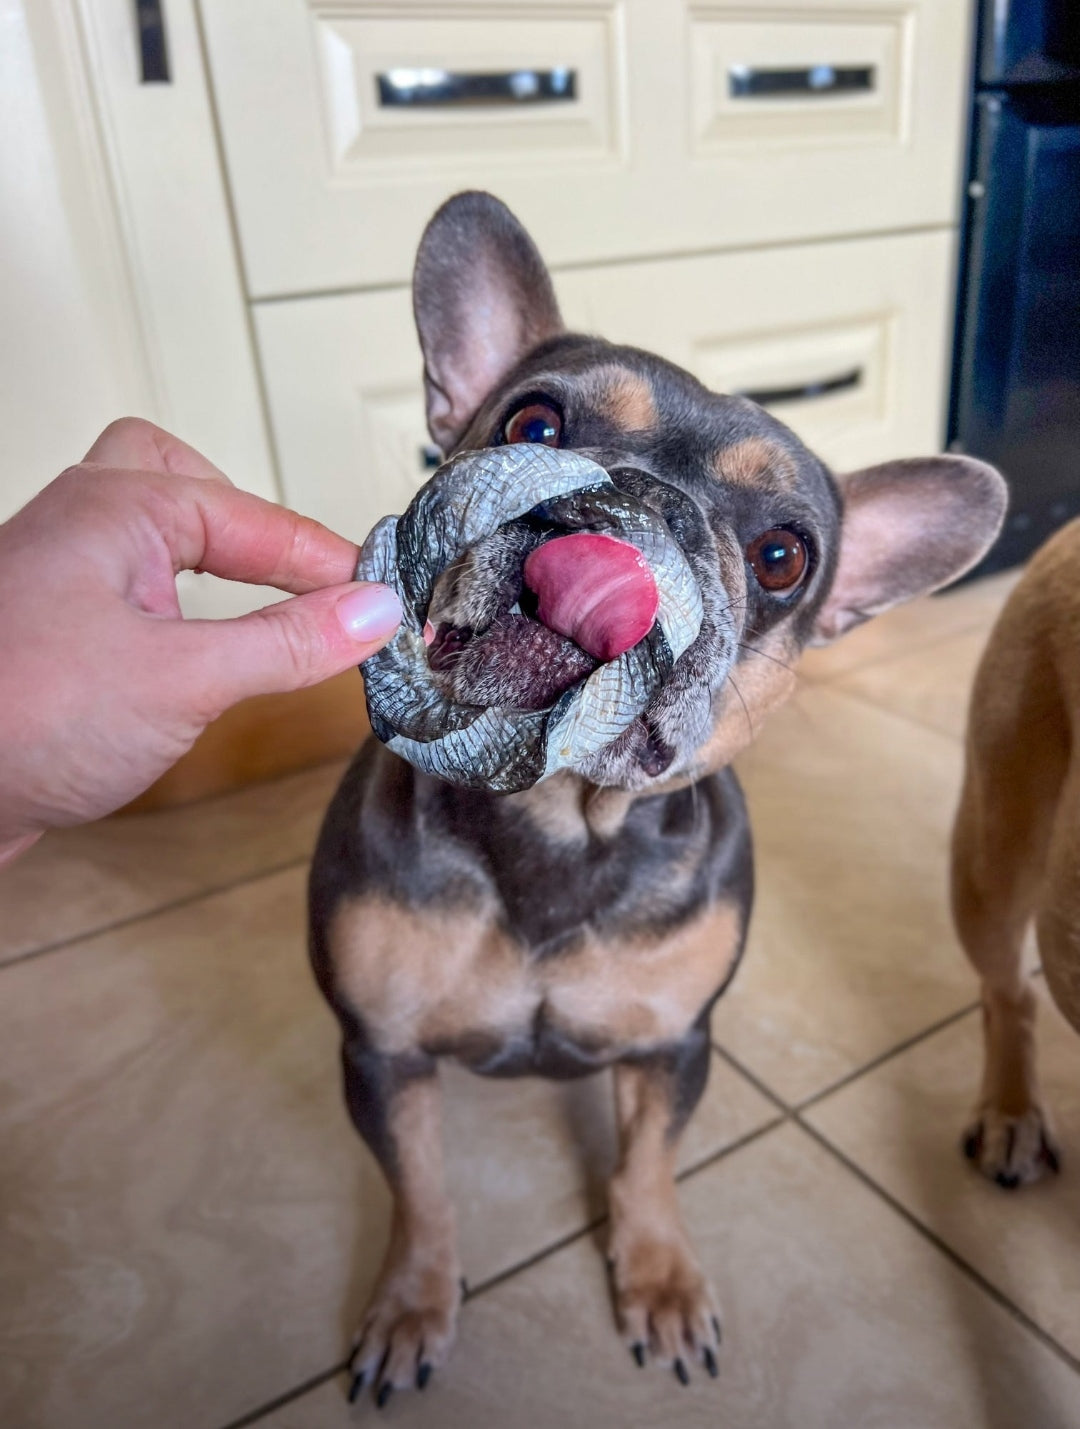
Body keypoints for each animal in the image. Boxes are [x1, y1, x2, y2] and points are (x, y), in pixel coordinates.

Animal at [308, 192, 1005, 1406]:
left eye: (783, 558)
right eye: (533, 426)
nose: (638, 502)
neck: (559, 818)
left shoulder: (673, 1045)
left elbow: (644, 1166)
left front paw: (661, 1279)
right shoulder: (381, 1054)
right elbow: (421, 1188)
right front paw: (412, 1302)